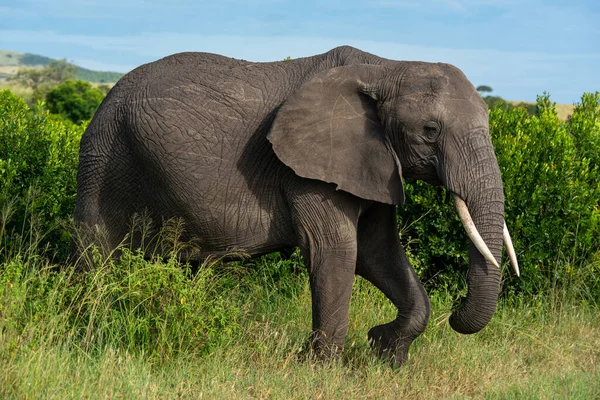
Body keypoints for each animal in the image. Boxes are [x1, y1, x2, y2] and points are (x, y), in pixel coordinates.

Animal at [75, 45, 516, 368]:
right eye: (430, 130)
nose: (456, 307)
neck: (386, 67)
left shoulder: (371, 163)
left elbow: (378, 252)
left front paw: (385, 354)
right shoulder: (308, 170)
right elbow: (337, 251)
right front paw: (319, 368)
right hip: (104, 157)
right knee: (96, 255)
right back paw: (88, 334)